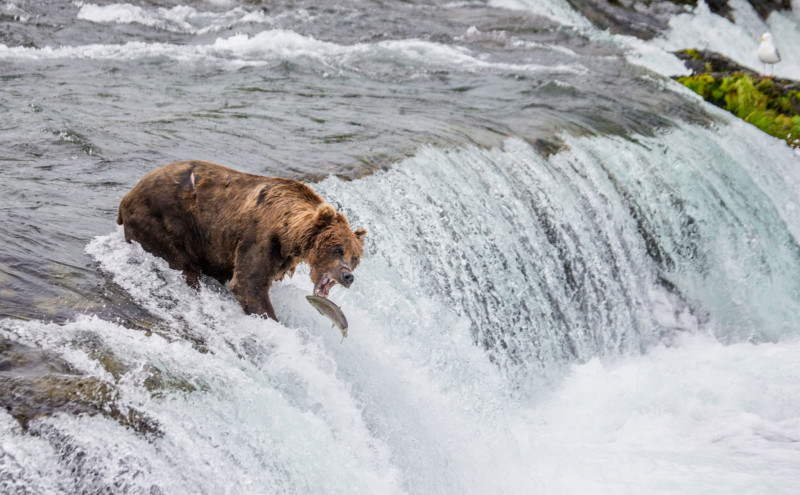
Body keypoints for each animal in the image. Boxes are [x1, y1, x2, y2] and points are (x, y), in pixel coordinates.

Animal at [117, 160, 368, 322]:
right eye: (337, 249)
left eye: (354, 258)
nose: (348, 276)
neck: (289, 233)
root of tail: (126, 197)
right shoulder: (260, 239)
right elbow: (249, 284)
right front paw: (271, 319)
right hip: (163, 222)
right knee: (184, 265)